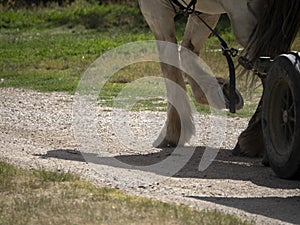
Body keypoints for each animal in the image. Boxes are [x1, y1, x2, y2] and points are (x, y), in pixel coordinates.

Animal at [139, 0, 300, 158]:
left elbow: (170, 67)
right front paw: (219, 93)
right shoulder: (203, 12)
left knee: (268, 66)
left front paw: (173, 133)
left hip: (245, 19)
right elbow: (186, 50)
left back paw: (252, 140)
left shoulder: (156, 10)